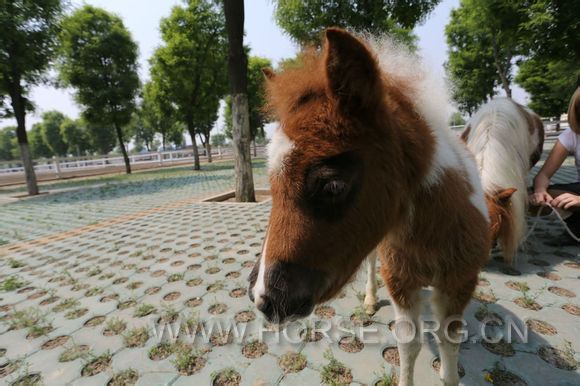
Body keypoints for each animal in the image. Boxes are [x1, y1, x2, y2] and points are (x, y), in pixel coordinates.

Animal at [249, 30, 490, 386]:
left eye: (333, 184)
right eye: (273, 186)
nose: (263, 298)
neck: (433, 233)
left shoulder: (460, 281)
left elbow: (449, 345)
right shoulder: (401, 280)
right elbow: (409, 343)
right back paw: (370, 298)